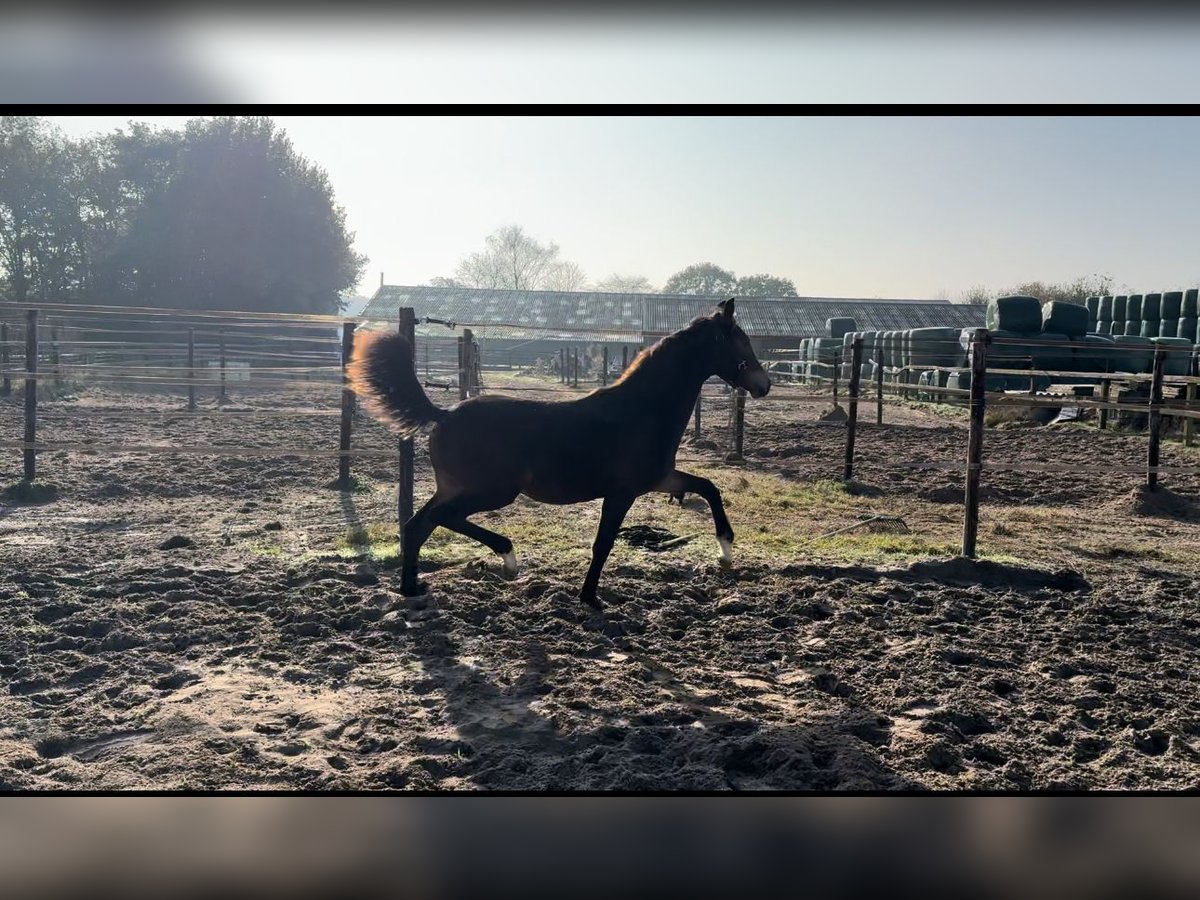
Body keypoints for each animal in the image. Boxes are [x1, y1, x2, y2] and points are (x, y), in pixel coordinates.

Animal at [350, 300, 772, 609]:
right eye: (741, 342)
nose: (764, 384)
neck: (642, 410)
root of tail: (443, 414)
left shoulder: (658, 479)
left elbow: (709, 486)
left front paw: (726, 550)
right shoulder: (622, 492)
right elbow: (603, 543)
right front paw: (590, 598)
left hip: (457, 487)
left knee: (417, 524)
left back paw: (411, 589)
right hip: (493, 491)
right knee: (439, 519)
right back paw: (507, 556)